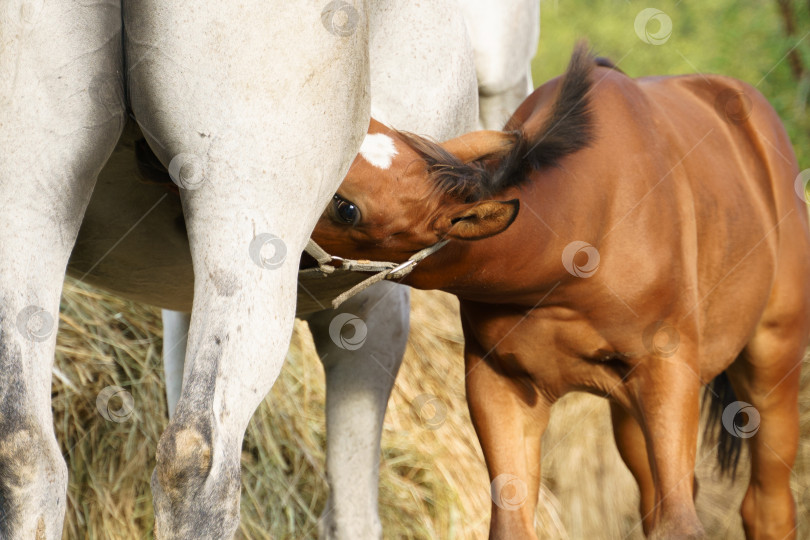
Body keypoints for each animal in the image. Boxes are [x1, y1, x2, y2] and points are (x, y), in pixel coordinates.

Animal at [310, 44, 808, 536]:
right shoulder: (500, 386)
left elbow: (681, 525)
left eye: (347, 208)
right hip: (630, 412)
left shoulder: (670, 373)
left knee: (765, 504)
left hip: (770, 366)